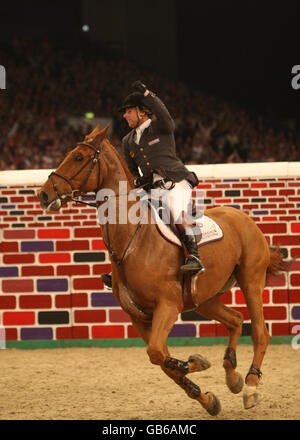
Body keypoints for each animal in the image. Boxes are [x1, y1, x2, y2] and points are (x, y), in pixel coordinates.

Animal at [38, 124, 288, 416]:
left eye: (78, 157)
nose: (43, 194)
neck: (132, 240)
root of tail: (243, 217)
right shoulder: (139, 317)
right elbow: (162, 360)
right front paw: (207, 398)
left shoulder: (167, 306)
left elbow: (158, 354)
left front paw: (198, 362)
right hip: (204, 299)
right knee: (236, 320)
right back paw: (232, 376)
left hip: (251, 282)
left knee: (260, 332)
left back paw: (250, 386)